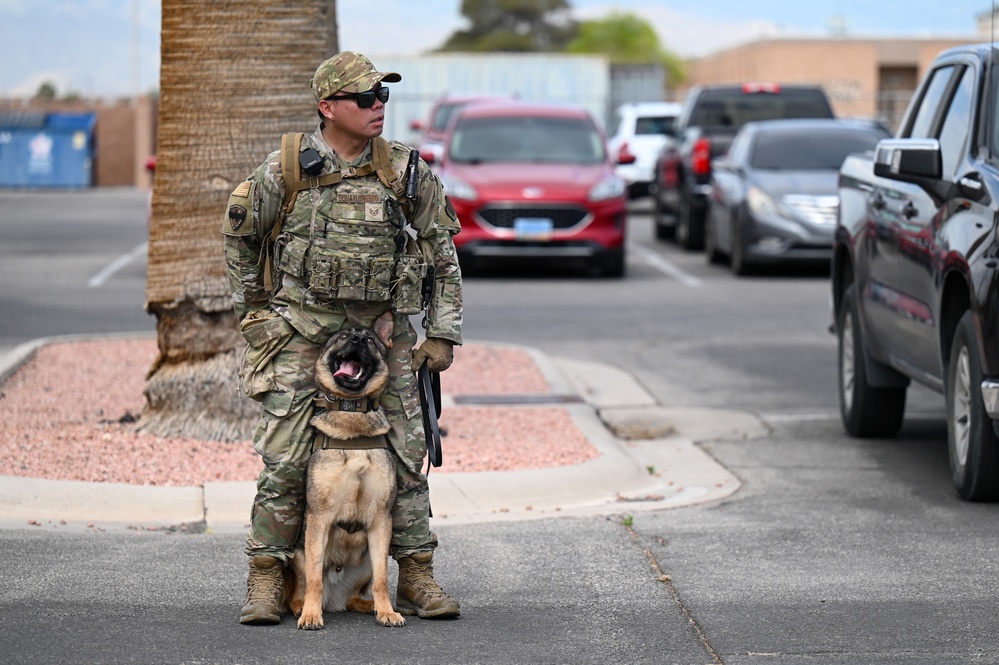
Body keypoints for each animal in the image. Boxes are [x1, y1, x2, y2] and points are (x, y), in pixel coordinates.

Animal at [286, 310, 406, 628]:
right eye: (343, 337)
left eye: (369, 341)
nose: (357, 340)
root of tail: (334, 602)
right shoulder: (318, 519)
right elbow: (315, 578)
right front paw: (311, 615)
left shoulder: (381, 521)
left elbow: (382, 580)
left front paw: (387, 611)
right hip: (298, 552)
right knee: (302, 588)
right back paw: (303, 607)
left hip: (367, 561)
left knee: (359, 594)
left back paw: (370, 606)